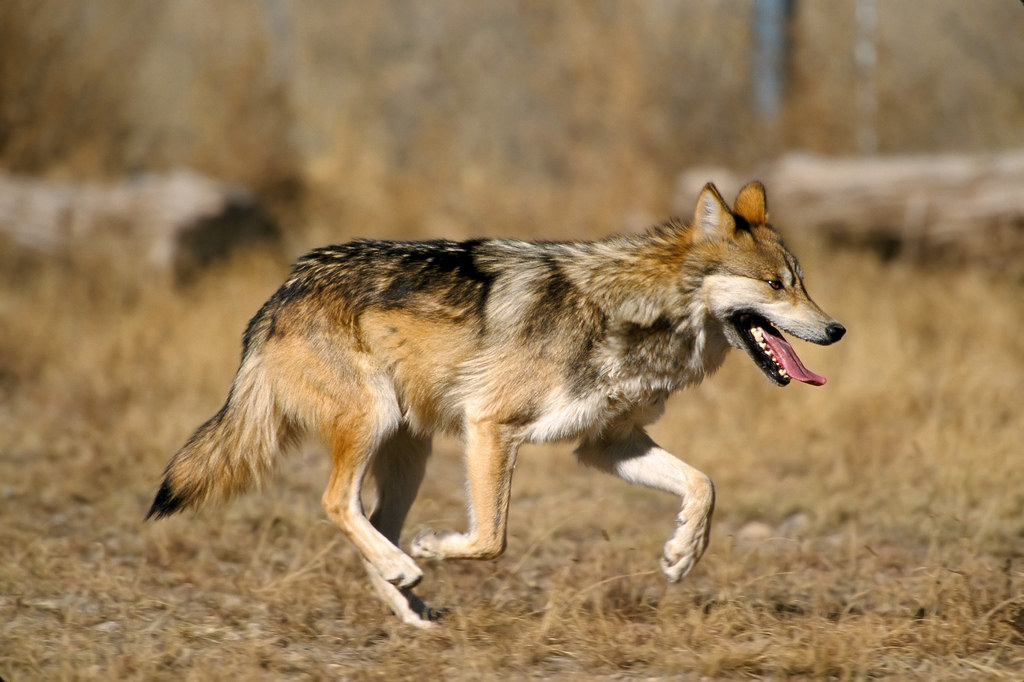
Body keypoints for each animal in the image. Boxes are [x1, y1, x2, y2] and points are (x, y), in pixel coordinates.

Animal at [147, 181, 844, 627]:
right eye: (776, 285)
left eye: (802, 283)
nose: (837, 329)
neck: (634, 313)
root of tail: (283, 291)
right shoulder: (491, 427)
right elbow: (491, 539)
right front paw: (435, 547)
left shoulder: (606, 445)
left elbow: (704, 485)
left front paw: (681, 555)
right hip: (375, 425)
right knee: (337, 504)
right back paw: (408, 566)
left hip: (411, 453)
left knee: (372, 522)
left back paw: (410, 604)